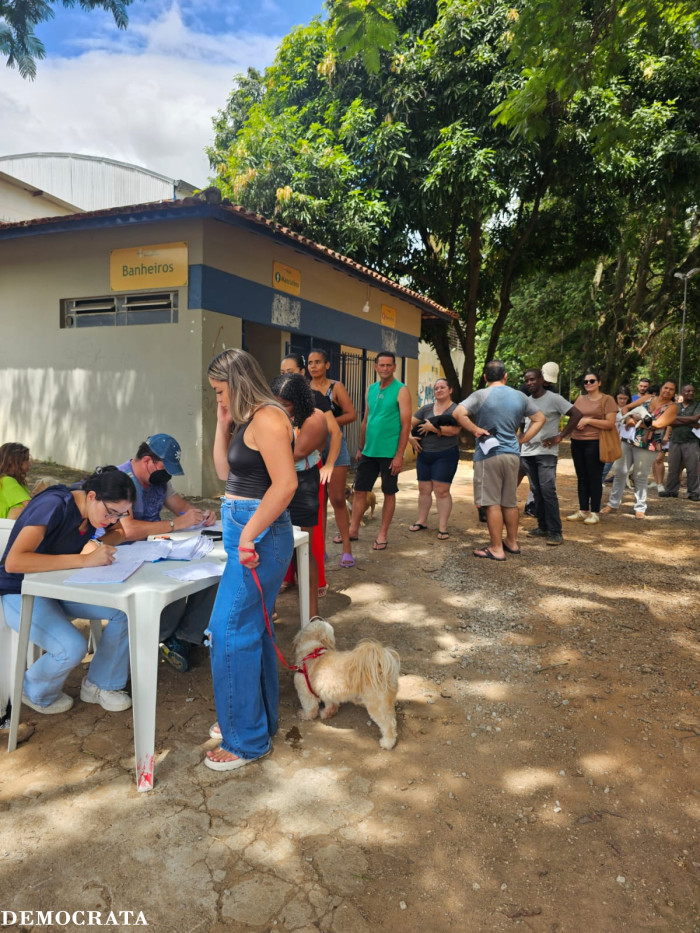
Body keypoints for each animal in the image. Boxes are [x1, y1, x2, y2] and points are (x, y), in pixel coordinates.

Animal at [292, 618, 400, 749]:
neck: (313, 650)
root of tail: (379, 666)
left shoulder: (305, 692)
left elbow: (310, 708)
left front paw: (304, 715)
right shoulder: (327, 690)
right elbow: (330, 704)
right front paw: (327, 713)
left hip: (376, 705)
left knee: (388, 724)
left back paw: (387, 743)